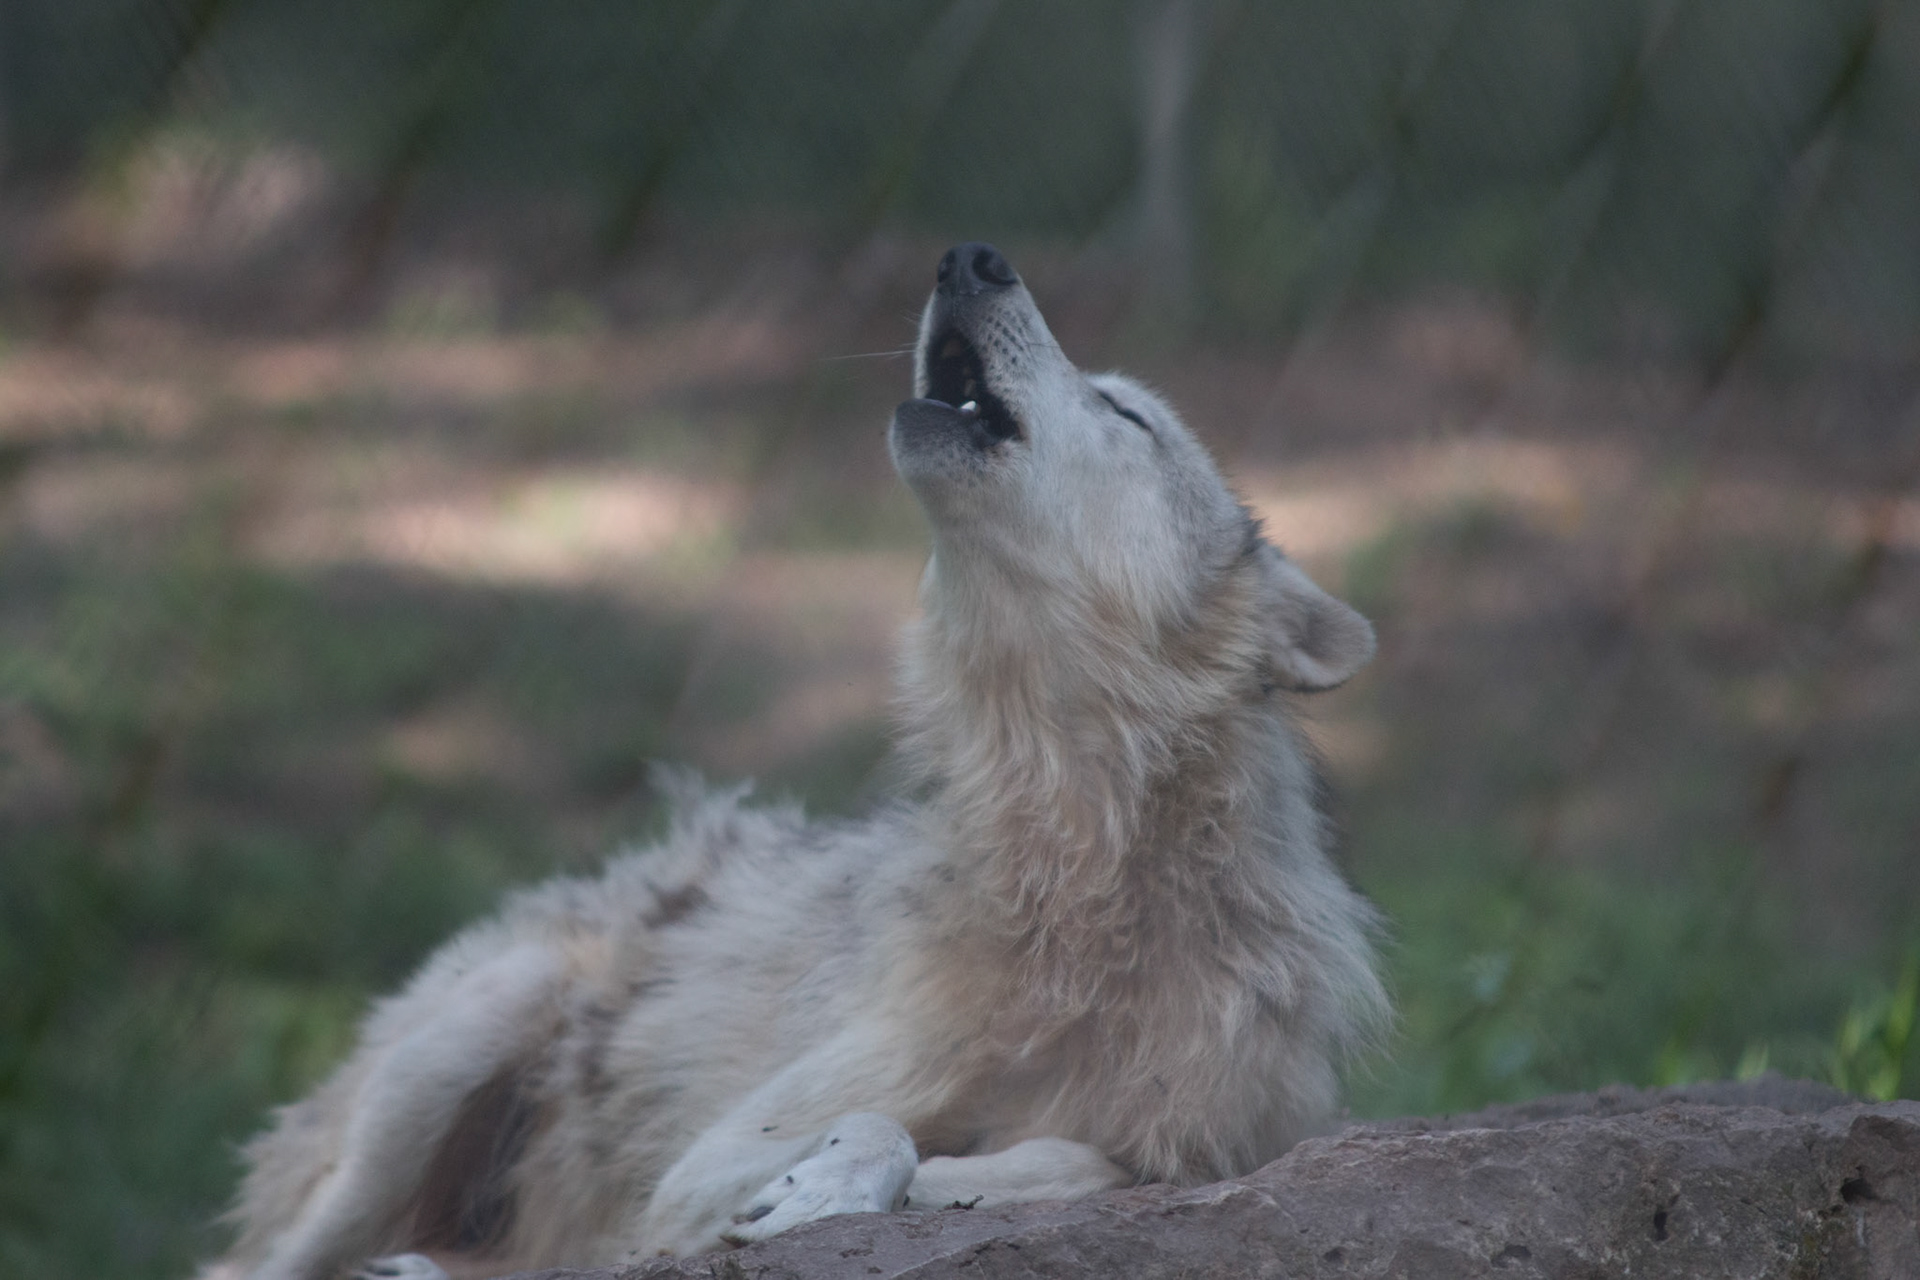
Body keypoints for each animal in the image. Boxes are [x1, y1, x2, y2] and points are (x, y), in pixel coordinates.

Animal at [205, 242, 1390, 1280]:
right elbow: (872, 1126)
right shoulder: (706, 1159)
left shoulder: (1211, 1142)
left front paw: (934, 1182)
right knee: (253, 1262)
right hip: (456, 1046)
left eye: (1125, 413)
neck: (1077, 877)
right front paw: (829, 1184)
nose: (970, 255)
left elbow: (1079, 1157)